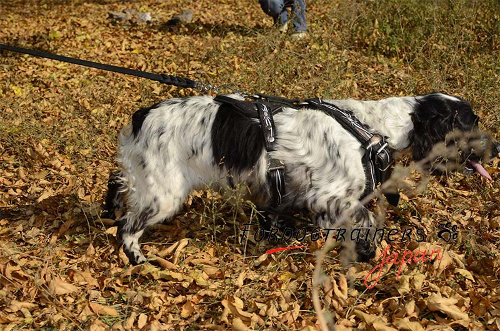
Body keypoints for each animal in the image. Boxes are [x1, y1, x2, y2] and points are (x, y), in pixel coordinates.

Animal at [103, 92, 498, 266]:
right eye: (471, 121)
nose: (496, 148)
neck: (371, 128)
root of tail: (143, 114)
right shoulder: (330, 196)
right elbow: (363, 221)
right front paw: (365, 254)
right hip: (164, 192)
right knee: (128, 227)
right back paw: (137, 259)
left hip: (146, 179)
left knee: (118, 183)